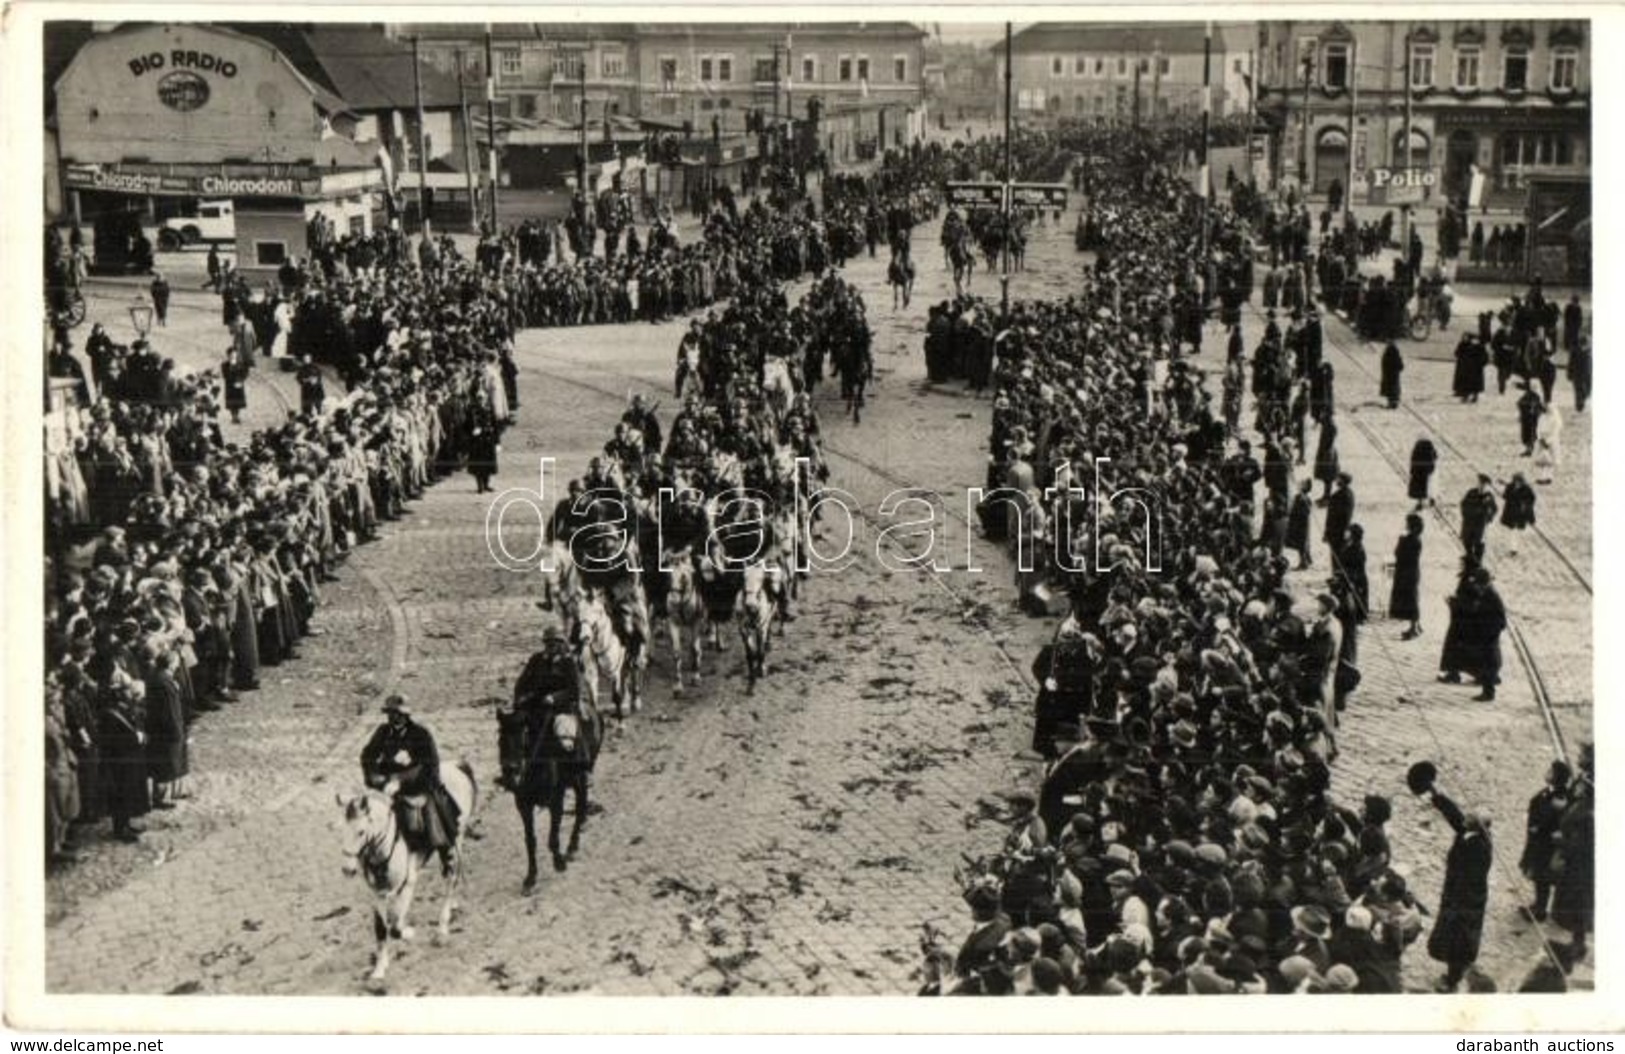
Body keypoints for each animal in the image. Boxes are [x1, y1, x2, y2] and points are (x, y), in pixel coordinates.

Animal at [334, 760, 474, 980]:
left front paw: (409, 933)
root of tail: (457, 766)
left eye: (361, 832)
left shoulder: (408, 884)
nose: (347, 869)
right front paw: (379, 970)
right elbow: (381, 930)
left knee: (452, 878)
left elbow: (395, 928)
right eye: (342, 830)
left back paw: (442, 929)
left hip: (453, 844)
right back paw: (453, 906)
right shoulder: (377, 894)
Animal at [494, 652, 604, 889]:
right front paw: (531, 876)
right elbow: (530, 840)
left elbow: (553, 836)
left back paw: (572, 846)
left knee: (581, 809)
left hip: (581, 778)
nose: (510, 771)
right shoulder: (523, 804)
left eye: (524, 736)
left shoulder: (556, 799)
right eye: (499, 739)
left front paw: (559, 861)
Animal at [663, 545, 708, 695]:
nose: (674, 600)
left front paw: (695, 677)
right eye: (669, 575)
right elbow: (677, 652)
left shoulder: (695, 622)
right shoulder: (673, 622)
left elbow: (695, 648)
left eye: (685, 575)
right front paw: (677, 687)